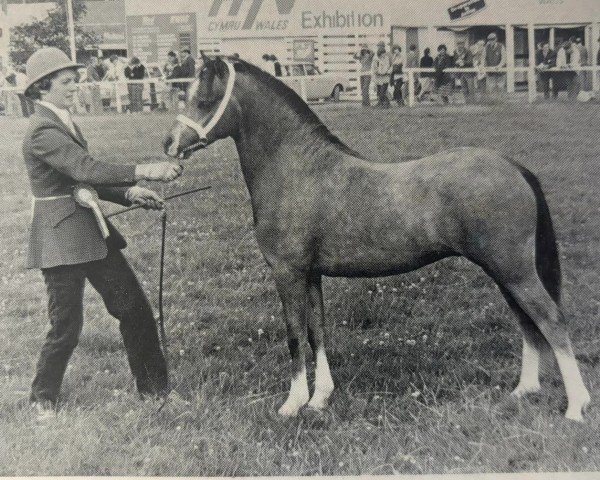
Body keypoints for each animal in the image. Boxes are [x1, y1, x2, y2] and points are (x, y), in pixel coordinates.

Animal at [163, 55, 592, 420]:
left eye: (203, 99)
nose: (168, 144)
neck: (296, 167)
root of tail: (513, 166)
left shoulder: (287, 273)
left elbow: (295, 336)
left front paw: (293, 403)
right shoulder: (311, 275)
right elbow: (318, 332)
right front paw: (320, 398)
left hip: (514, 271)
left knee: (550, 320)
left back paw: (575, 407)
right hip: (504, 273)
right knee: (527, 322)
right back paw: (524, 390)